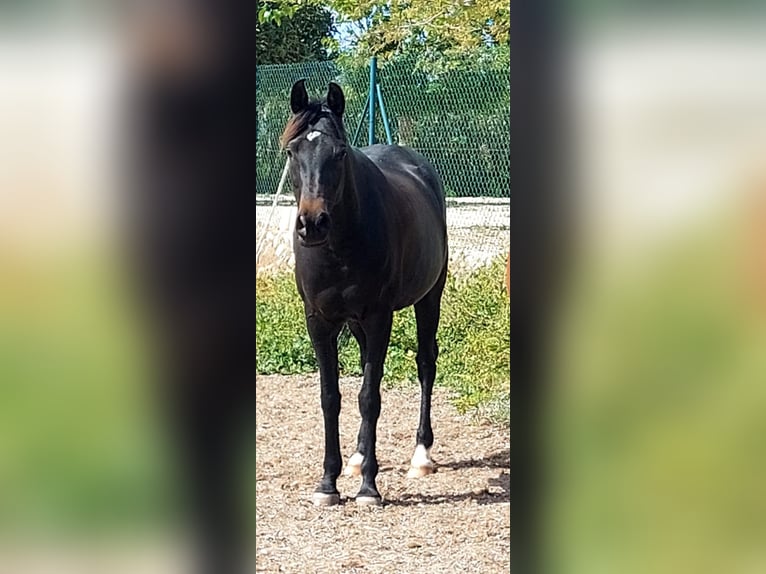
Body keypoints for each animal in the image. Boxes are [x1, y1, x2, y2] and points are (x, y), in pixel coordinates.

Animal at [281, 80, 449, 506]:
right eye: (292, 151)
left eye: (339, 153)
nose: (312, 224)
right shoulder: (319, 321)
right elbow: (331, 397)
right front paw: (328, 483)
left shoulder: (378, 317)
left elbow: (369, 397)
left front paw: (369, 489)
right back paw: (357, 457)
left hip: (429, 297)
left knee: (426, 362)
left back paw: (421, 456)